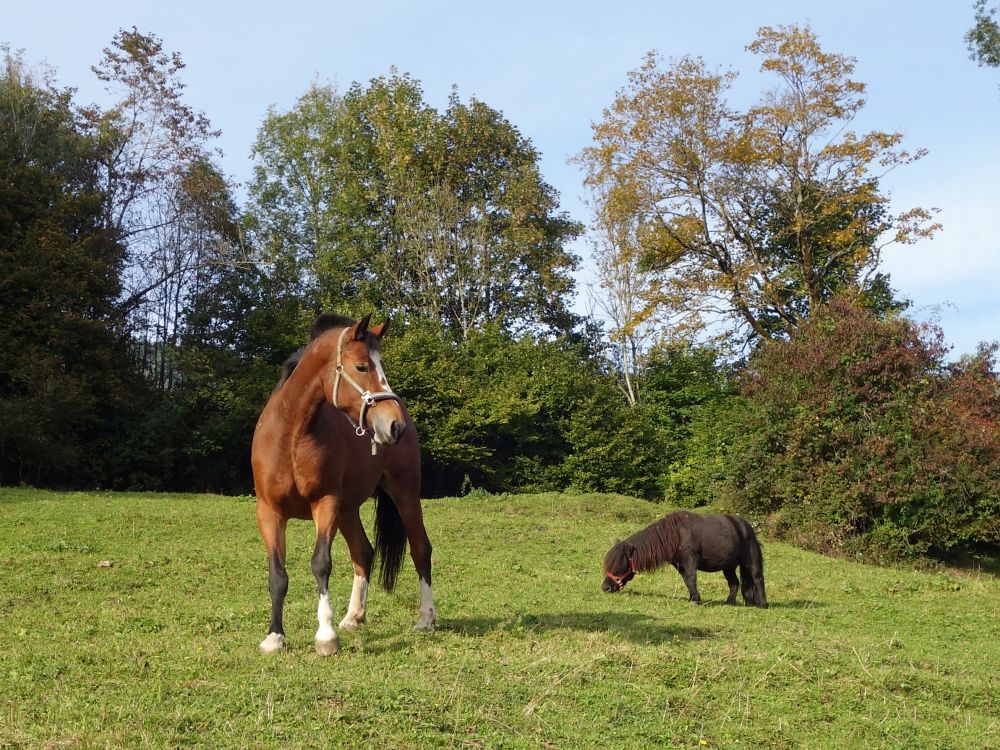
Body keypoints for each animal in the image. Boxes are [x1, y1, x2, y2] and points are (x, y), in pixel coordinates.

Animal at [250, 314, 434, 656]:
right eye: (361, 366)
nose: (394, 425)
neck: (290, 437)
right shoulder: (269, 512)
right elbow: (277, 575)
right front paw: (274, 636)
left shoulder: (326, 503)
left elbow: (321, 563)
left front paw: (326, 635)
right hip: (348, 510)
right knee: (363, 552)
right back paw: (353, 616)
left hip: (404, 494)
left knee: (421, 549)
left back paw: (426, 618)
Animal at [604, 512, 768, 612]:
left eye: (619, 565)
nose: (605, 587)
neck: (674, 535)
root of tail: (746, 527)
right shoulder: (680, 566)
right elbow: (687, 582)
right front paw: (692, 598)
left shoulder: (690, 562)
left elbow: (691, 579)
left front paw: (696, 600)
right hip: (728, 567)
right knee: (734, 583)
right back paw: (729, 603)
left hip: (750, 562)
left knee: (758, 578)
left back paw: (762, 604)